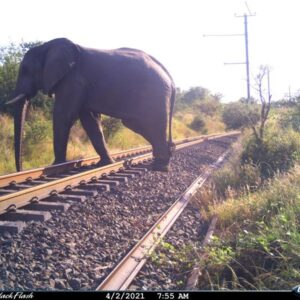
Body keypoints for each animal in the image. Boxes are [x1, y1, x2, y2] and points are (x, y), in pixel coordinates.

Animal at [6, 37, 176, 172]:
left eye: (26, 70)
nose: (20, 170)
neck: (47, 46)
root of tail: (170, 77)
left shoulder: (73, 81)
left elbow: (63, 116)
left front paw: (56, 167)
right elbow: (91, 122)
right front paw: (104, 164)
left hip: (154, 95)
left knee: (150, 124)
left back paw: (160, 167)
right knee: (141, 125)